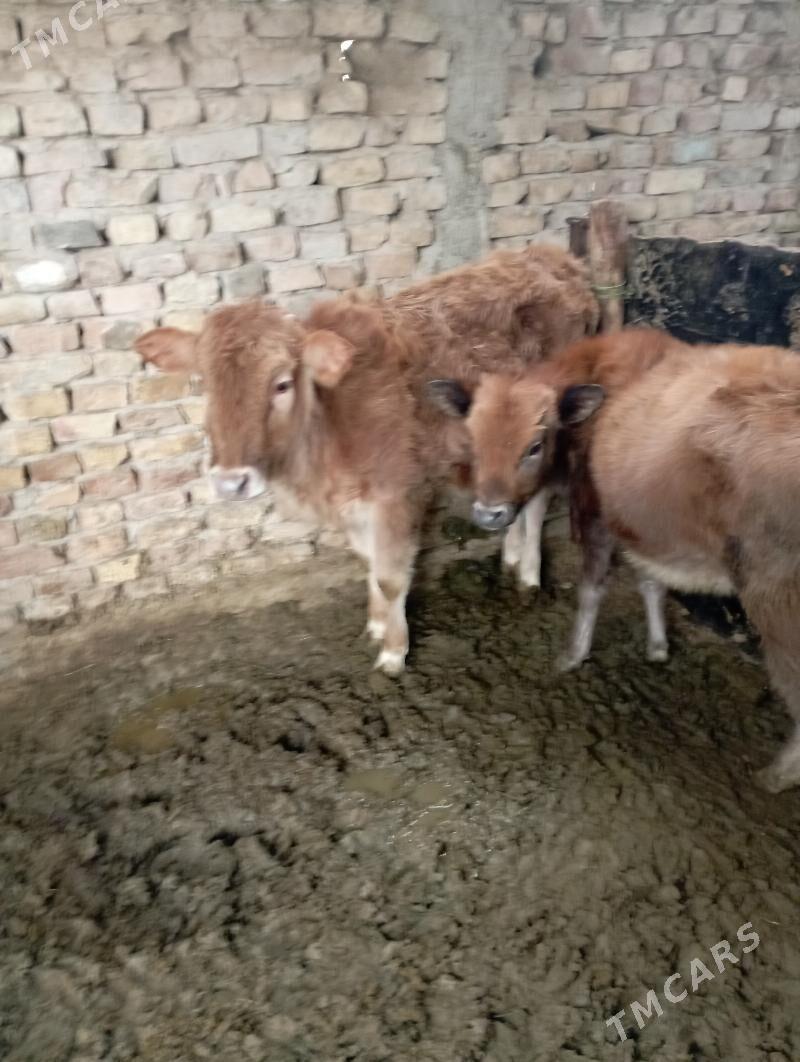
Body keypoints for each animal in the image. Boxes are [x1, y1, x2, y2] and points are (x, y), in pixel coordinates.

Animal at [134, 244, 598, 674]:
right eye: (205, 383)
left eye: (283, 384)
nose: (232, 481)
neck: (331, 428)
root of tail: (555, 258)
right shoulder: (353, 504)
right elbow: (369, 562)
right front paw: (377, 626)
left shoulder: (398, 494)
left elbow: (391, 577)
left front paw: (394, 653)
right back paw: (511, 554)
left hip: (544, 432)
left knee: (537, 501)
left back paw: (528, 574)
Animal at [434, 326, 800, 792]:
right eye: (474, 440)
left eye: (535, 445)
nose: (488, 514)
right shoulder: (640, 524)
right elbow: (650, 581)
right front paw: (658, 647)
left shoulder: (594, 511)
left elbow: (592, 588)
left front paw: (573, 655)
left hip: (775, 600)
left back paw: (776, 776)